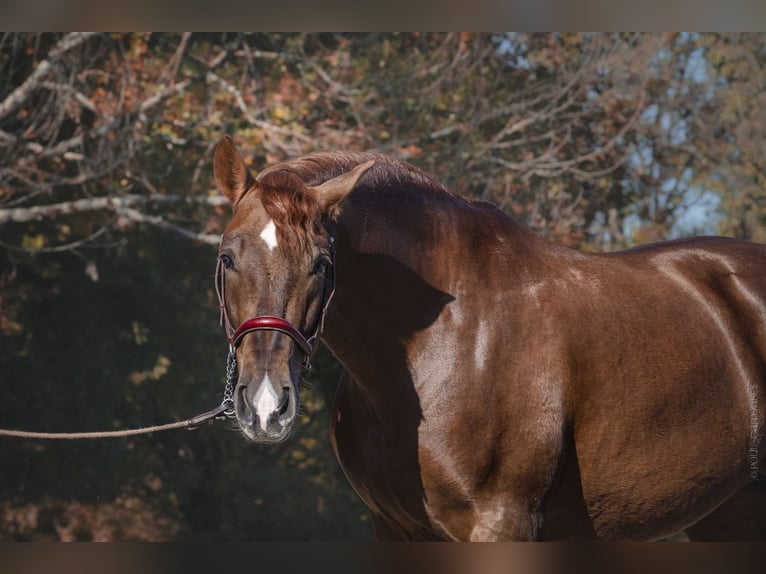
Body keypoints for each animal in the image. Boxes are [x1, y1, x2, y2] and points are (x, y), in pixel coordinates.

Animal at [212, 136, 766, 544]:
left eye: (322, 265)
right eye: (227, 257)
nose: (266, 404)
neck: (442, 344)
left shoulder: (501, 525)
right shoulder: (396, 530)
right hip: (729, 515)